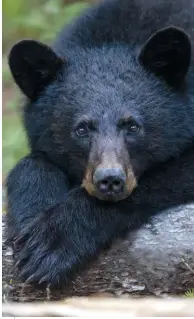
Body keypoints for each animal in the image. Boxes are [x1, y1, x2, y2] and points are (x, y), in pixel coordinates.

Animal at [6, 0, 193, 284]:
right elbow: (32, 161)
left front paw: (51, 242)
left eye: (132, 126)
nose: (110, 180)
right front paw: (31, 208)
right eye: (81, 129)